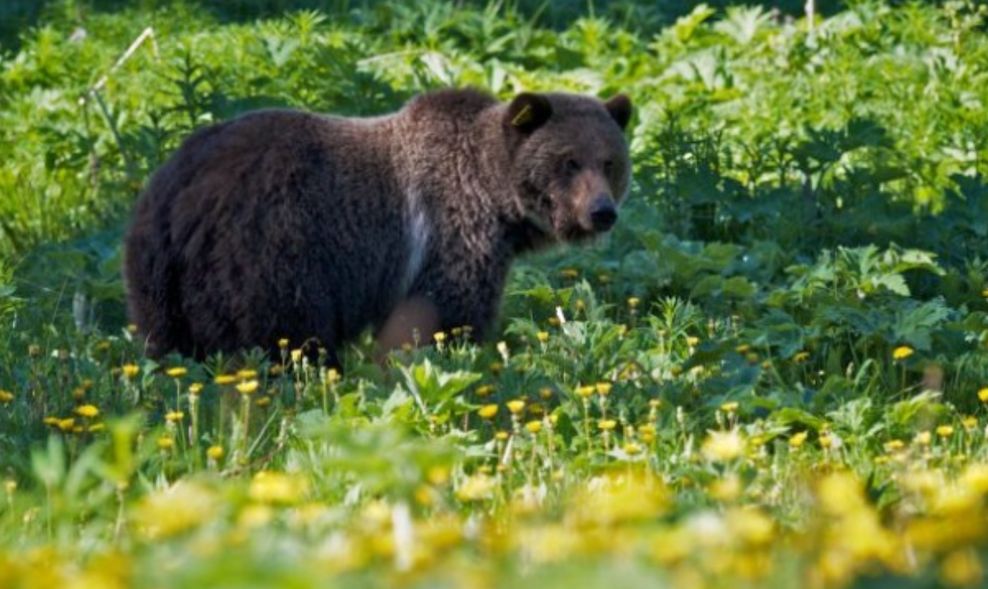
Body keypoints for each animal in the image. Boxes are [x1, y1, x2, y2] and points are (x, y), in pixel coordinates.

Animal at [123, 88, 632, 365]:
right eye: (569, 161)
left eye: (610, 162)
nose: (602, 212)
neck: (496, 197)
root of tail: (180, 190)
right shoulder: (451, 235)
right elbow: (445, 314)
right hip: (270, 250)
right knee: (288, 334)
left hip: (158, 275)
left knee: (168, 343)